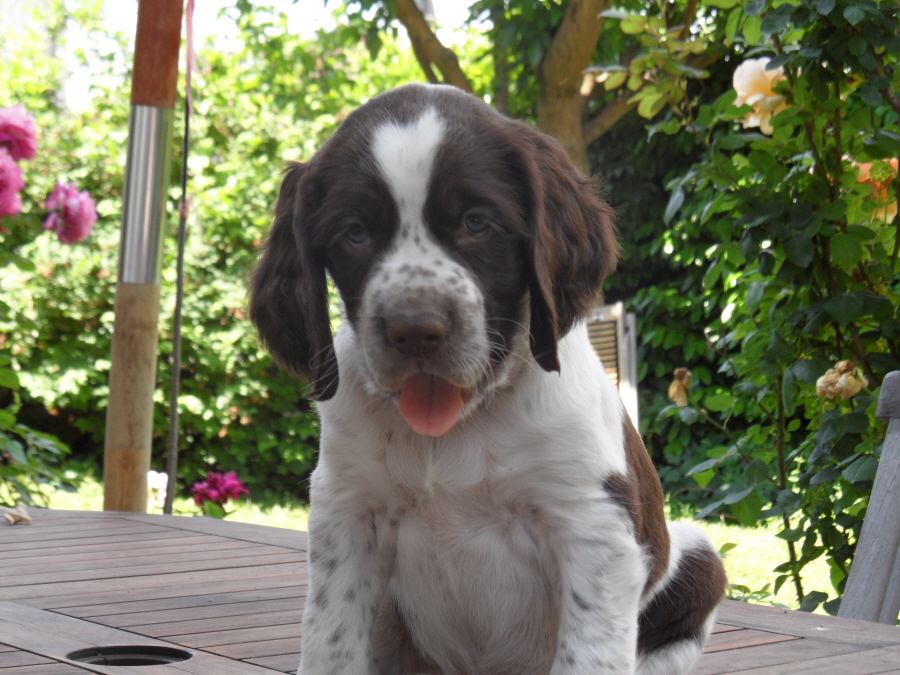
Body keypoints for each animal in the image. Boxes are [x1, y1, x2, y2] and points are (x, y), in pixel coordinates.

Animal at [250, 83, 726, 675]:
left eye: (477, 223)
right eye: (354, 233)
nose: (414, 330)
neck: (459, 427)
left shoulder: (593, 527)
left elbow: (588, 655)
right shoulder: (347, 512)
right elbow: (330, 643)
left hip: (700, 560)